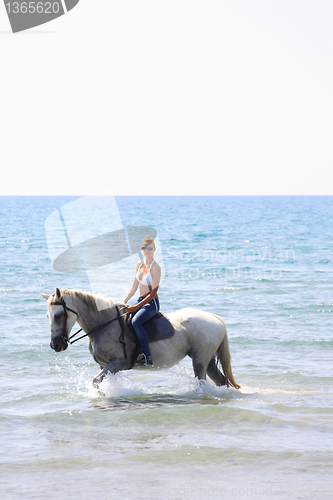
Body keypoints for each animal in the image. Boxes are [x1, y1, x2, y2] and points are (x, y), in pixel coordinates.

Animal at [40, 288, 240, 388]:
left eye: (59, 315)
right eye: (48, 316)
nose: (55, 345)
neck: (104, 325)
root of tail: (215, 318)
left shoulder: (117, 363)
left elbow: (96, 382)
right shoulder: (105, 366)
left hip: (200, 360)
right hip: (208, 360)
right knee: (221, 381)